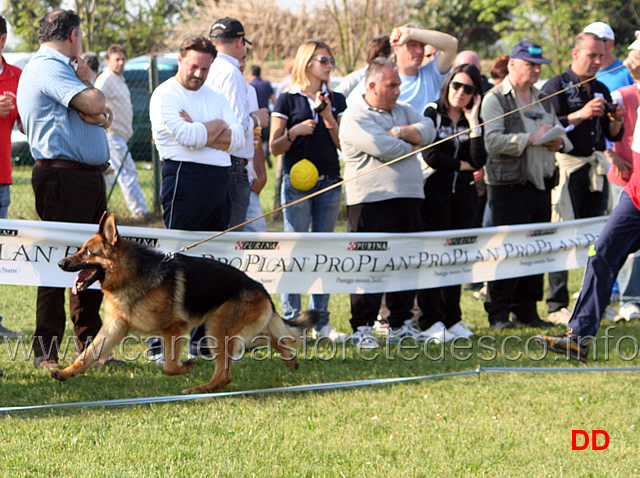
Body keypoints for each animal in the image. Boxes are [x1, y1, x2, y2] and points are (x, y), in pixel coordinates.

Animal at [53, 215, 318, 394]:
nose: (59, 263)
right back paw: (290, 360)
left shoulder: (173, 329)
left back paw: (198, 389)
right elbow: (87, 355)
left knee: (226, 374)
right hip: (229, 329)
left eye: (87, 253)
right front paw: (65, 373)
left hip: (218, 332)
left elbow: (169, 366)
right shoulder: (114, 328)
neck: (132, 275)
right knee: (269, 337)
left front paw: (185, 367)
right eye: (80, 250)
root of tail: (261, 289)